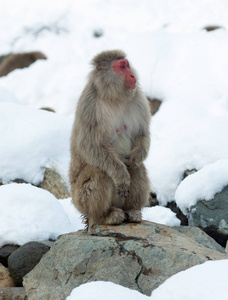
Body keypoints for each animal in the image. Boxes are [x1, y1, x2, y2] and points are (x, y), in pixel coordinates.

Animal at [69, 50, 151, 226]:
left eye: (127, 65)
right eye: (122, 67)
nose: (132, 75)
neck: (114, 97)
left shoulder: (139, 99)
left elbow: (142, 134)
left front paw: (136, 156)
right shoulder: (88, 105)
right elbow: (90, 146)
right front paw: (121, 175)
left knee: (137, 168)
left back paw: (132, 211)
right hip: (80, 200)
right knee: (99, 171)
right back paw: (104, 216)